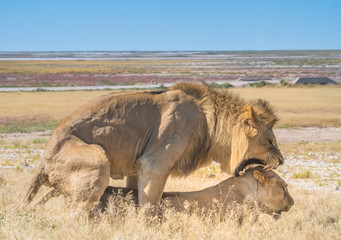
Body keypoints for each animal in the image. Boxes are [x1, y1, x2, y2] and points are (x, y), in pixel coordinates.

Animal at [25, 82, 282, 210]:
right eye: (270, 142)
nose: (281, 161)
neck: (211, 124)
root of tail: (43, 161)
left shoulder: (136, 167)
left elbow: (134, 195)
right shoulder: (154, 163)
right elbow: (149, 205)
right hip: (98, 159)